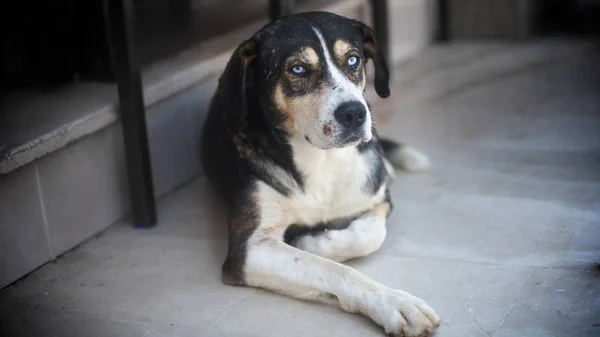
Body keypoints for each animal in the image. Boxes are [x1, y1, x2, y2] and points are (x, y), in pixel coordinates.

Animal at [202, 11, 440, 336]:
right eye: (298, 69)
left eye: (353, 60)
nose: (355, 113)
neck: (322, 160)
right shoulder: (248, 250)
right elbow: (333, 271)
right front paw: (395, 304)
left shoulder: (377, 199)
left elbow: (370, 234)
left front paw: (315, 242)